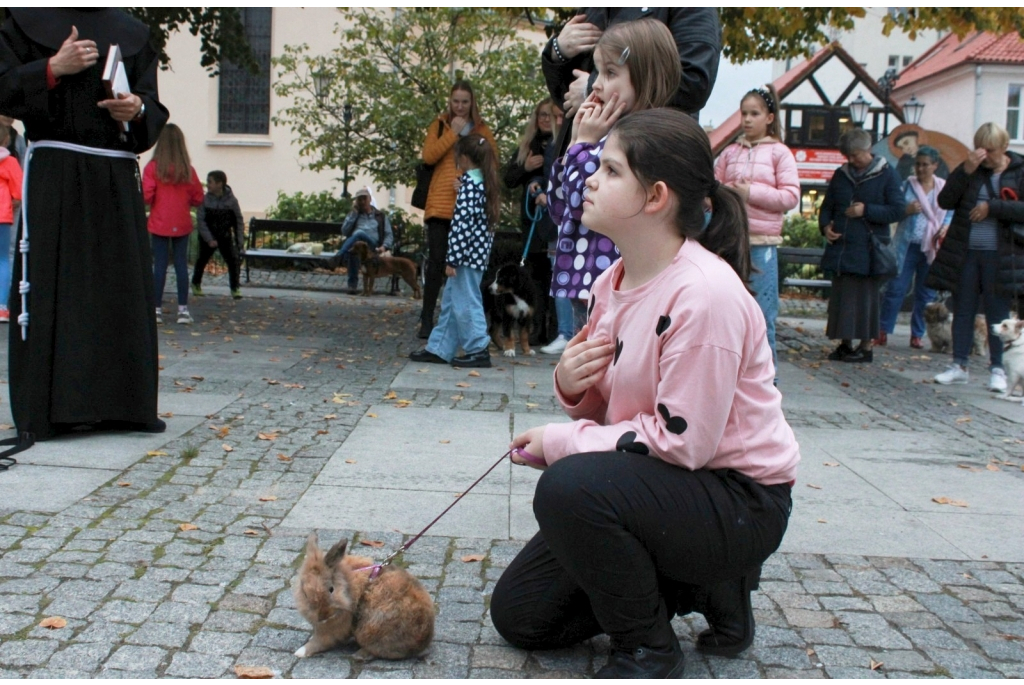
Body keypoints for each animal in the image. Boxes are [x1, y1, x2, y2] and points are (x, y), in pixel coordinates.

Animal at [290, 532, 434, 659]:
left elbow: (319, 642)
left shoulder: (334, 630)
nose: (323, 615)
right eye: (304, 593)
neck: (346, 585)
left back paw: (359, 655)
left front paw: (300, 652)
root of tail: (423, 642)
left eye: (331, 589)